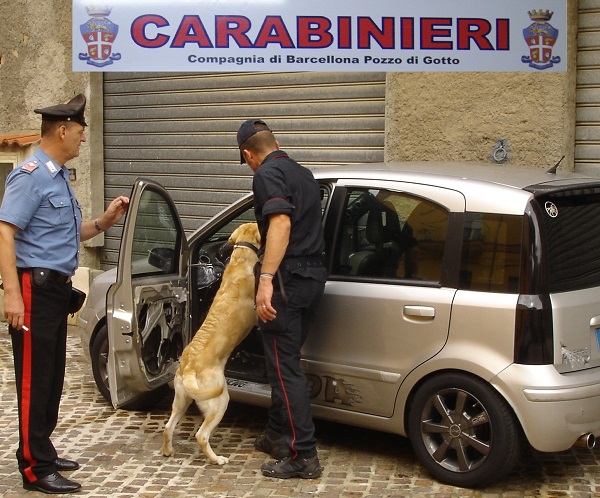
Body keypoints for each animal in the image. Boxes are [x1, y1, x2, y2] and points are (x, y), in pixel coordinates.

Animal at [161, 224, 258, 464]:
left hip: (182, 399)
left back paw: (168, 451)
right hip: (219, 401)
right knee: (201, 435)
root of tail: (188, 368)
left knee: (167, 427)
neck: (240, 260)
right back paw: (217, 459)